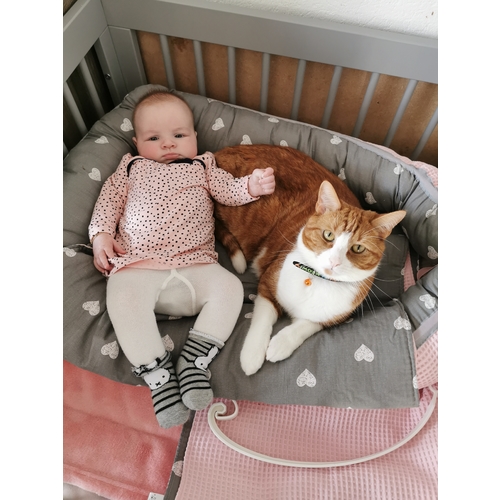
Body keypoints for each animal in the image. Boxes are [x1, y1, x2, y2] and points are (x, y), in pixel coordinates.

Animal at [213, 145, 406, 376]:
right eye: (328, 235)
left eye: (358, 248)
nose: (334, 262)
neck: (315, 280)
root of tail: (221, 151)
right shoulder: (267, 286)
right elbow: (261, 322)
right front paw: (251, 357)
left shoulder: (330, 319)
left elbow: (304, 326)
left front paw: (280, 344)